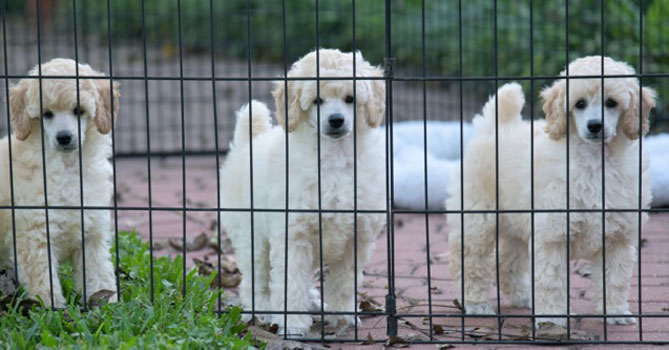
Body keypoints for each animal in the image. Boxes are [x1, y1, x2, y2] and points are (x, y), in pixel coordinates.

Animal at [0, 58, 120, 308]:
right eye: (47, 114)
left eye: (79, 111)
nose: (64, 137)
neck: (67, 166)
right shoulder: (35, 234)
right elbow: (44, 281)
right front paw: (52, 309)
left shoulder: (92, 232)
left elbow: (99, 271)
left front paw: (107, 304)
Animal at [219, 47, 386, 334]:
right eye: (317, 101)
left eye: (350, 98)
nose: (336, 120)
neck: (333, 157)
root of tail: (246, 145)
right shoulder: (292, 233)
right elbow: (290, 280)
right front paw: (293, 323)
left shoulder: (356, 237)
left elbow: (344, 281)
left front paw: (343, 316)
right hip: (251, 234)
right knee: (255, 278)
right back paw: (261, 310)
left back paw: (314, 301)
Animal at [446, 56, 656, 328]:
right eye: (579, 104)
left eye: (611, 103)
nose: (595, 126)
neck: (594, 160)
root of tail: (496, 126)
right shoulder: (553, 233)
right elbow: (551, 279)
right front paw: (553, 318)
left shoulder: (618, 237)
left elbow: (615, 278)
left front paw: (616, 312)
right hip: (476, 215)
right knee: (469, 259)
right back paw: (476, 304)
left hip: (515, 221)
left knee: (507, 260)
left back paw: (523, 297)